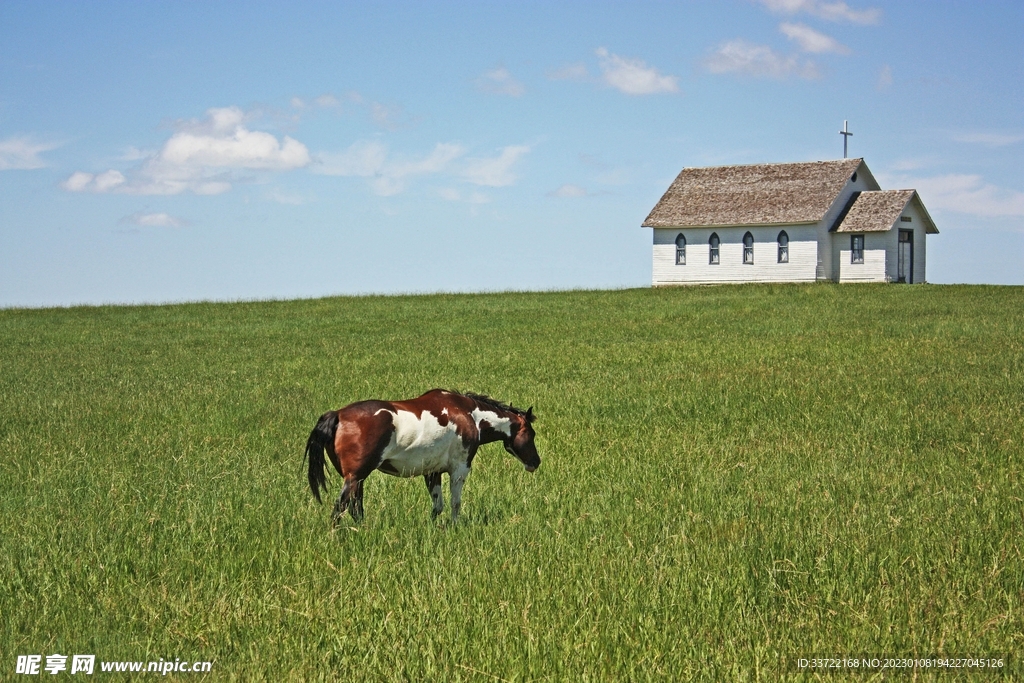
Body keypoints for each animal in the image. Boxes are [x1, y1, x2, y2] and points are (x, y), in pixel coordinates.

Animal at [304, 389, 540, 524]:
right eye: (531, 434)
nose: (535, 462)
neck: (469, 415)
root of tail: (337, 414)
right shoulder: (459, 469)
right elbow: (455, 503)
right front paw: (456, 527)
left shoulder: (433, 472)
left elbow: (438, 506)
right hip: (354, 478)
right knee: (339, 509)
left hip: (358, 479)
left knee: (355, 509)